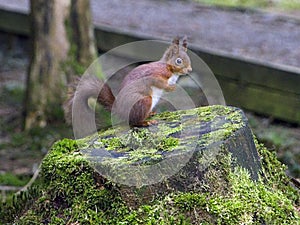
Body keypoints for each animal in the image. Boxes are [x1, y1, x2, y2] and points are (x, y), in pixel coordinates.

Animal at [64, 37, 193, 126]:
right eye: (179, 61)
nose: (190, 70)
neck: (169, 68)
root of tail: (120, 110)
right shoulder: (156, 74)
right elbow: (158, 82)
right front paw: (171, 88)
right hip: (144, 101)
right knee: (134, 122)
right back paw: (145, 122)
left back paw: (150, 114)